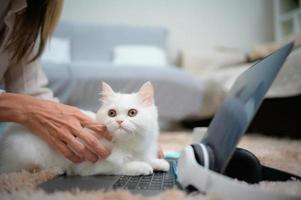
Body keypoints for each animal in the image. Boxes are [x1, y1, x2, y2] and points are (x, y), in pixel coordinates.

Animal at [0, 82, 169, 176]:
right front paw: (141, 166)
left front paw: (159, 163)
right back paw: (56, 170)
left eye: (132, 113)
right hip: (27, 149)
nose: (119, 121)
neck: (128, 144)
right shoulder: (93, 165)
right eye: (112, 113)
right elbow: (120, 166)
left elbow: (147, 158)